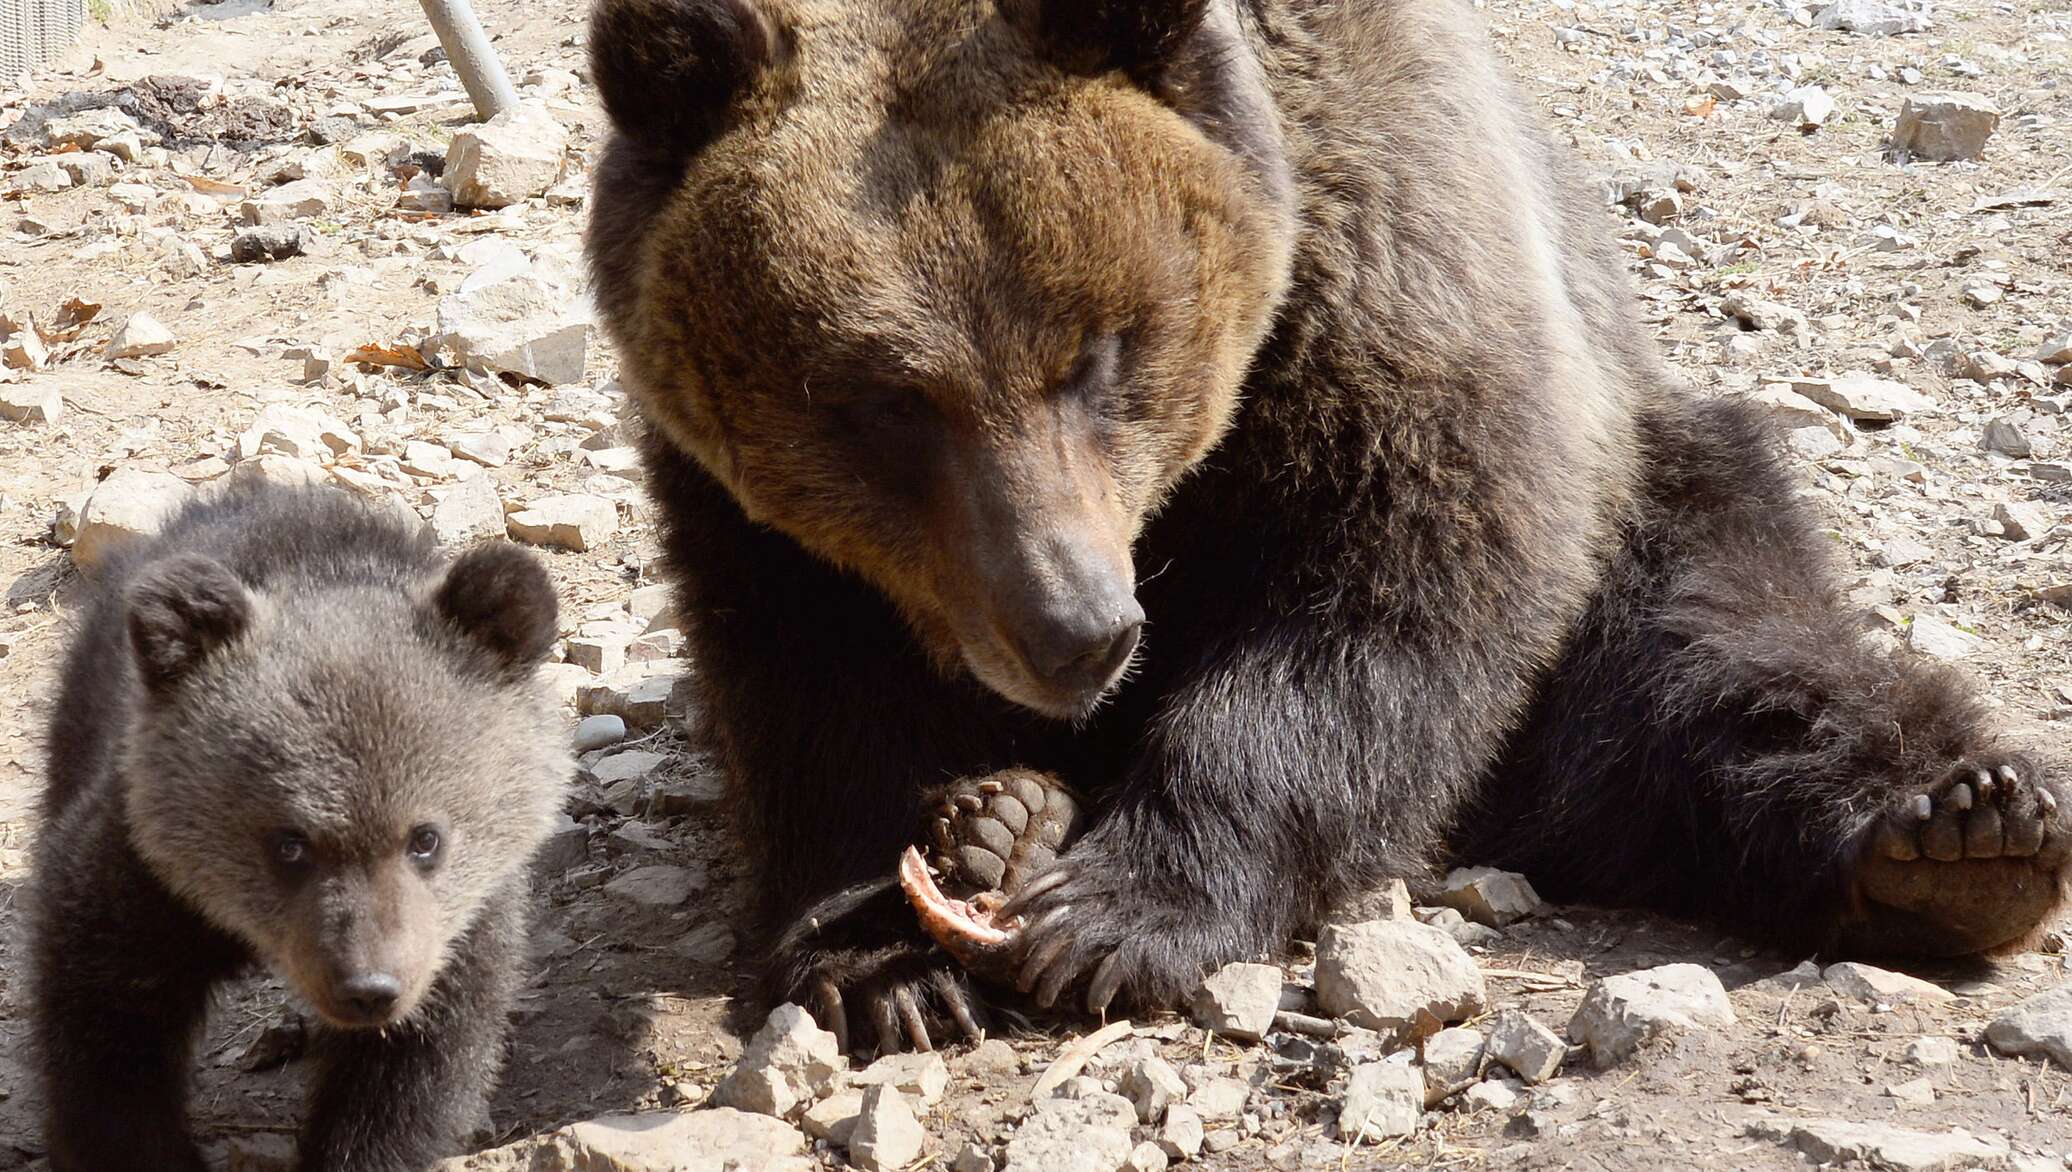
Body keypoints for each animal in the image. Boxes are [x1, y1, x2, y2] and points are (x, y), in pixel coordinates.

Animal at [580, 0, 2055, 1056]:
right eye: (882, 401)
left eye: (1098, 350)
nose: (1076, 631)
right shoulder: (764, 521)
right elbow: (809, 690)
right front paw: (882, 959)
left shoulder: (1387, 274)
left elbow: (1390, 586)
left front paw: (1121, 910)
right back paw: (996, 825)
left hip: (1646, 506)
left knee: (1719, 664)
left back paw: (1957, 830)